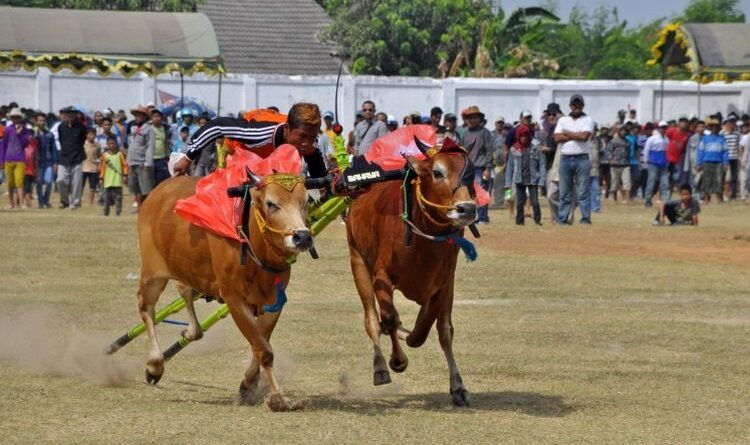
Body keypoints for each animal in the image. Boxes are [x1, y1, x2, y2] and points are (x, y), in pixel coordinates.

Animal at [137, 173, 312, 410]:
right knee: (146, 308)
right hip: (152, 274)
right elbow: (264, 349)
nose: (302, 237)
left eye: (306, 201)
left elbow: (261, 341)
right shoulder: (234, 299)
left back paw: (191, 331)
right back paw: (155, 364)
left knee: (184, 291)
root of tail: (158, 191)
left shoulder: (274, 301)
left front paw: (248, 383)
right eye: (271, 203)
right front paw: (279, 398)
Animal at [348, 139, 478, 406]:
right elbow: (388, 319)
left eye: (471, 172)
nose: (467, 209)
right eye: (437, 172)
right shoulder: (381, 277)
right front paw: (397, 359)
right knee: (371, 319)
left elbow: (441, 330)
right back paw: (380, 366)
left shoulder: (445, 282)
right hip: (357, 261)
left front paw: (458, 387)